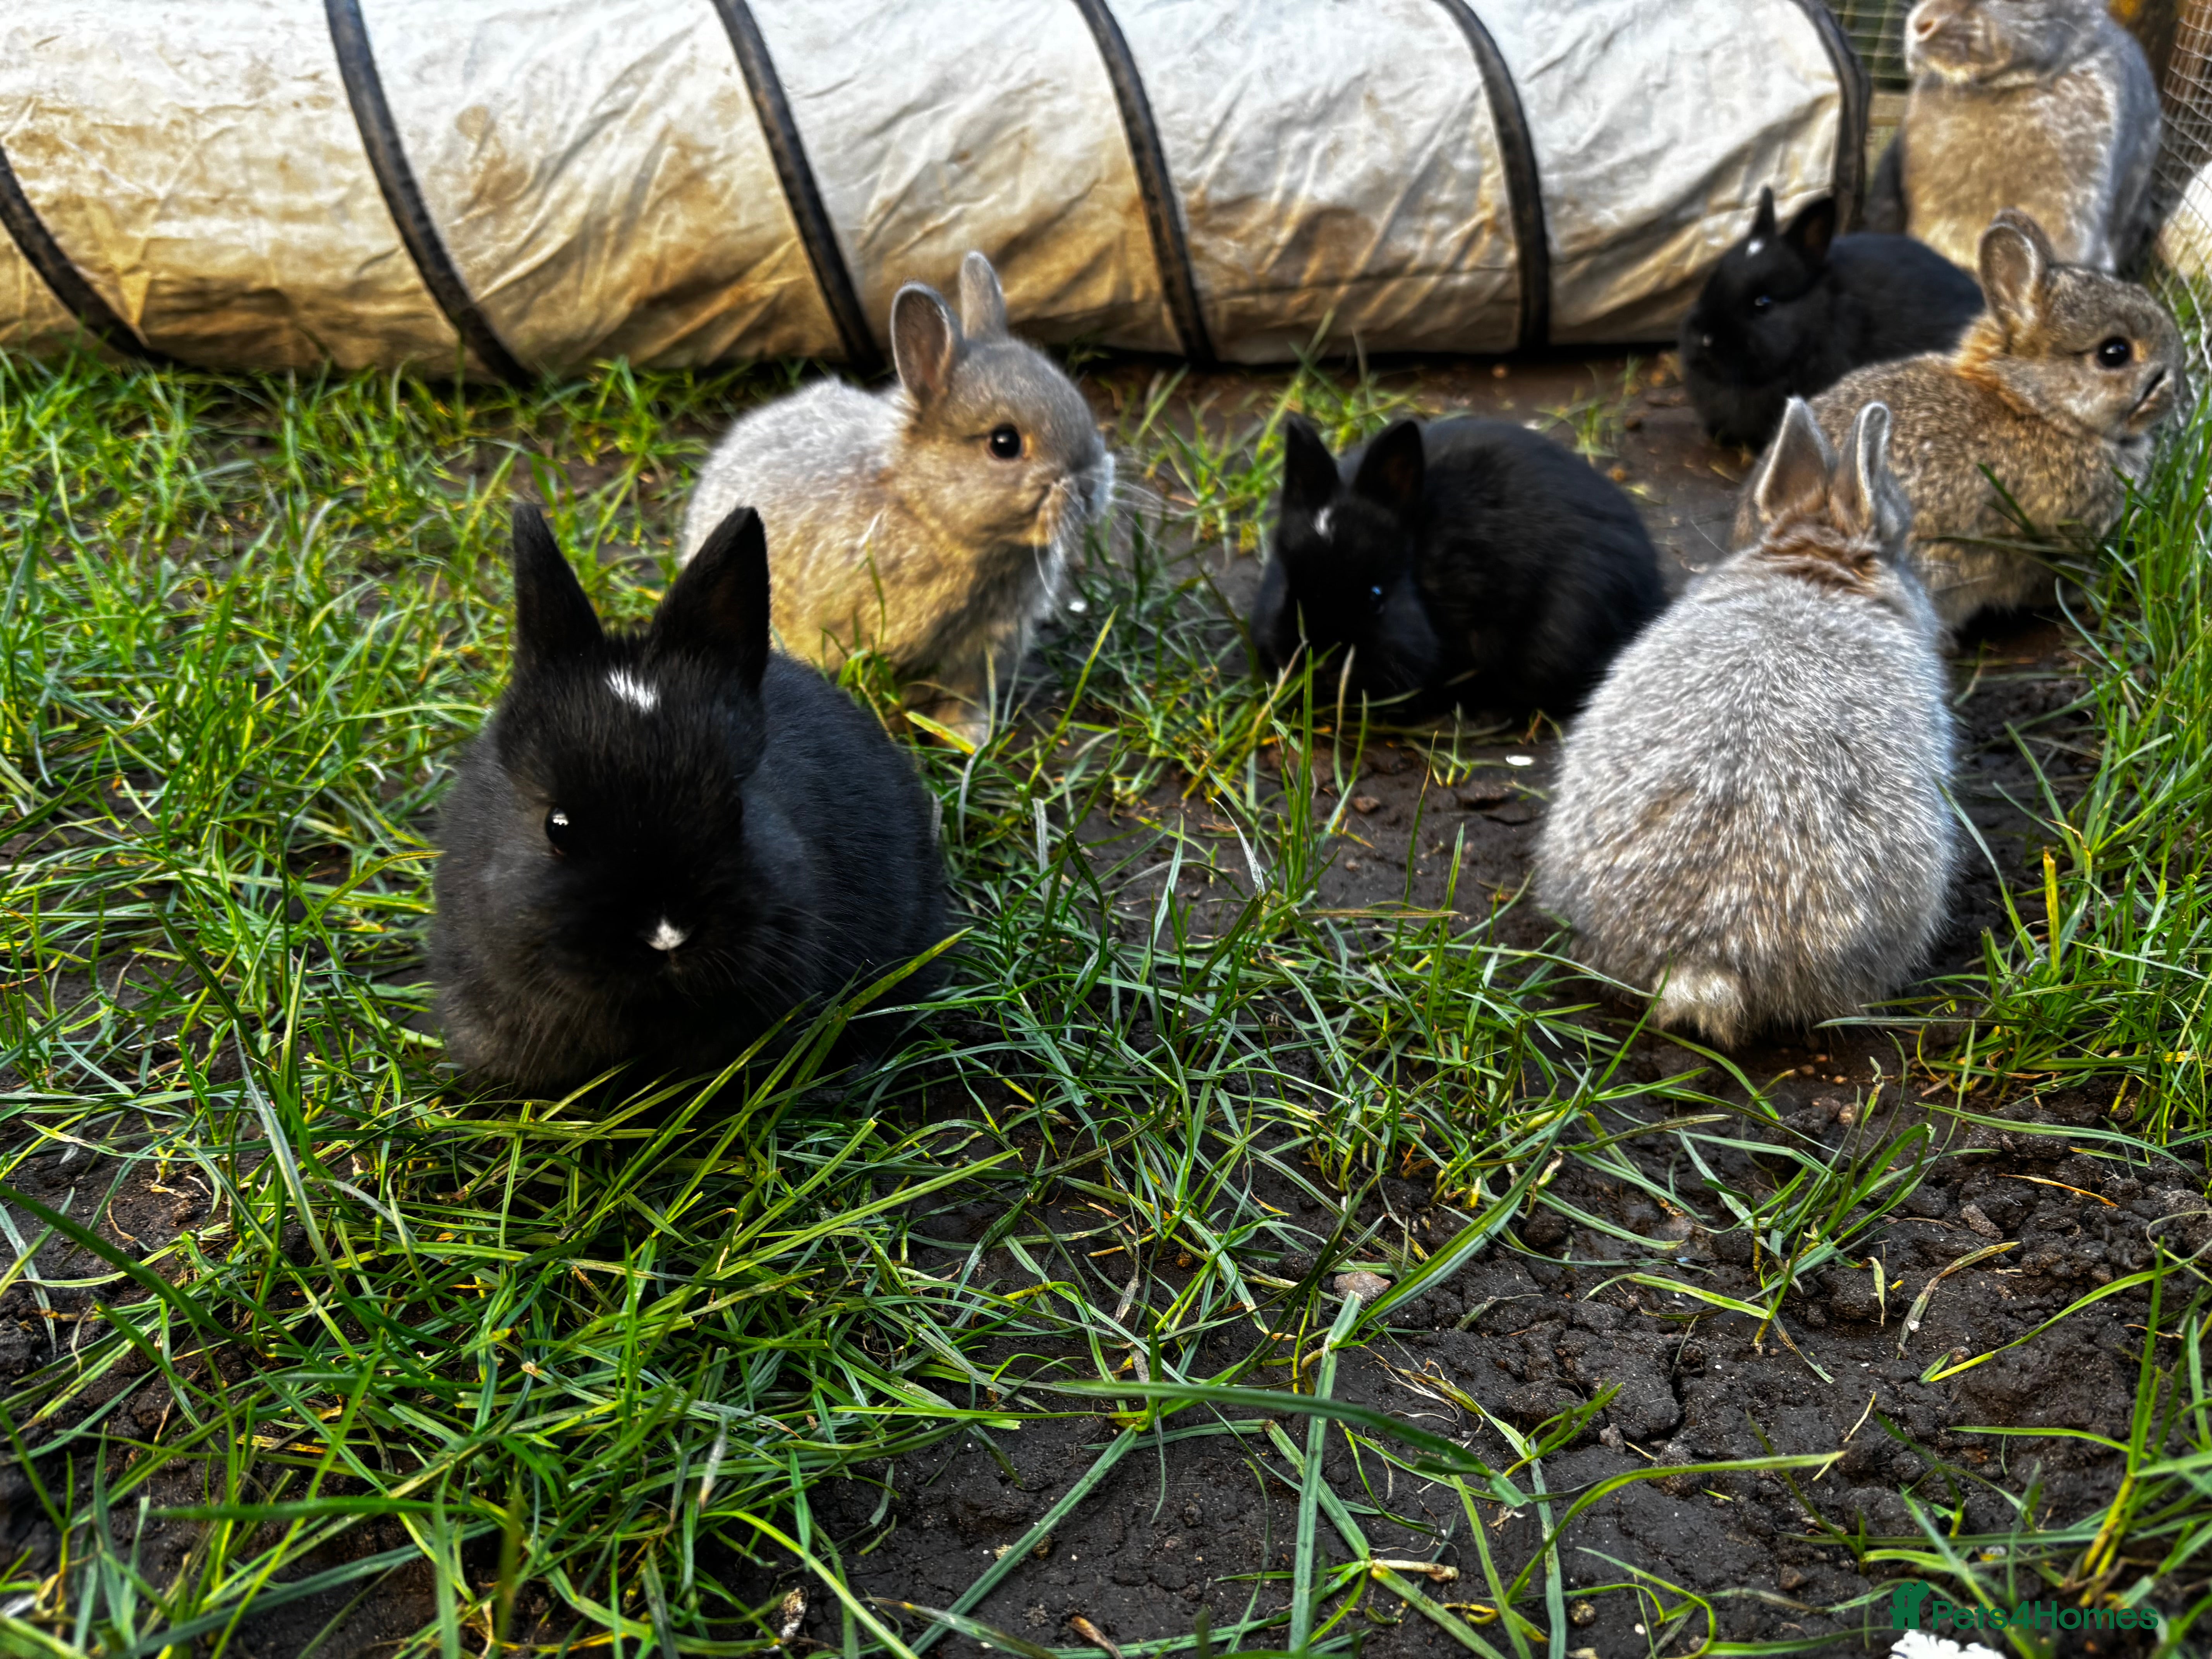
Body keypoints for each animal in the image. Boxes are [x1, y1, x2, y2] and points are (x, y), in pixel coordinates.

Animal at [678, 251, 1113, 744]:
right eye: (1004, 443)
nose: (1091, 486)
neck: (923, 508)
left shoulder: (981, 650)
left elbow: (964, 694)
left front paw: (969, 734)